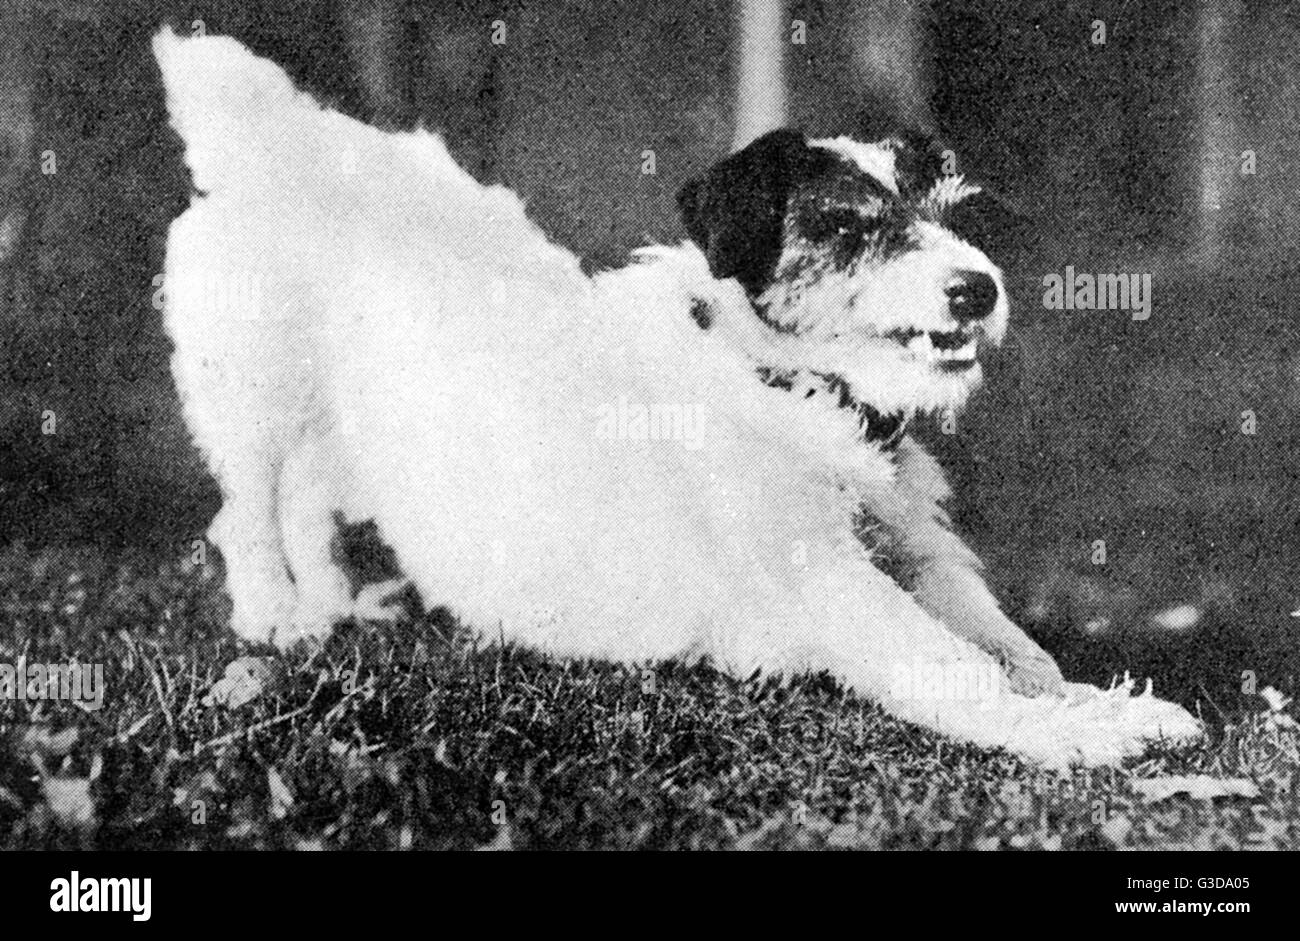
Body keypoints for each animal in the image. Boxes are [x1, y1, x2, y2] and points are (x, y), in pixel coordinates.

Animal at [152, 29, 1196, 764]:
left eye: (950, 215)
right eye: (845, 225)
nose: (977, 290)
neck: (787, 390)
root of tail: (268, 136)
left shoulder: (916, 550)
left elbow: (1009, 643)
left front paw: (1087, 699)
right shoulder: (829, 581)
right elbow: (955, 665)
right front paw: (1083, 734)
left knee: (307, 501)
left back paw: (331, 602)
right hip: (252, 399)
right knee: (248, 512)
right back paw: (276, 617)